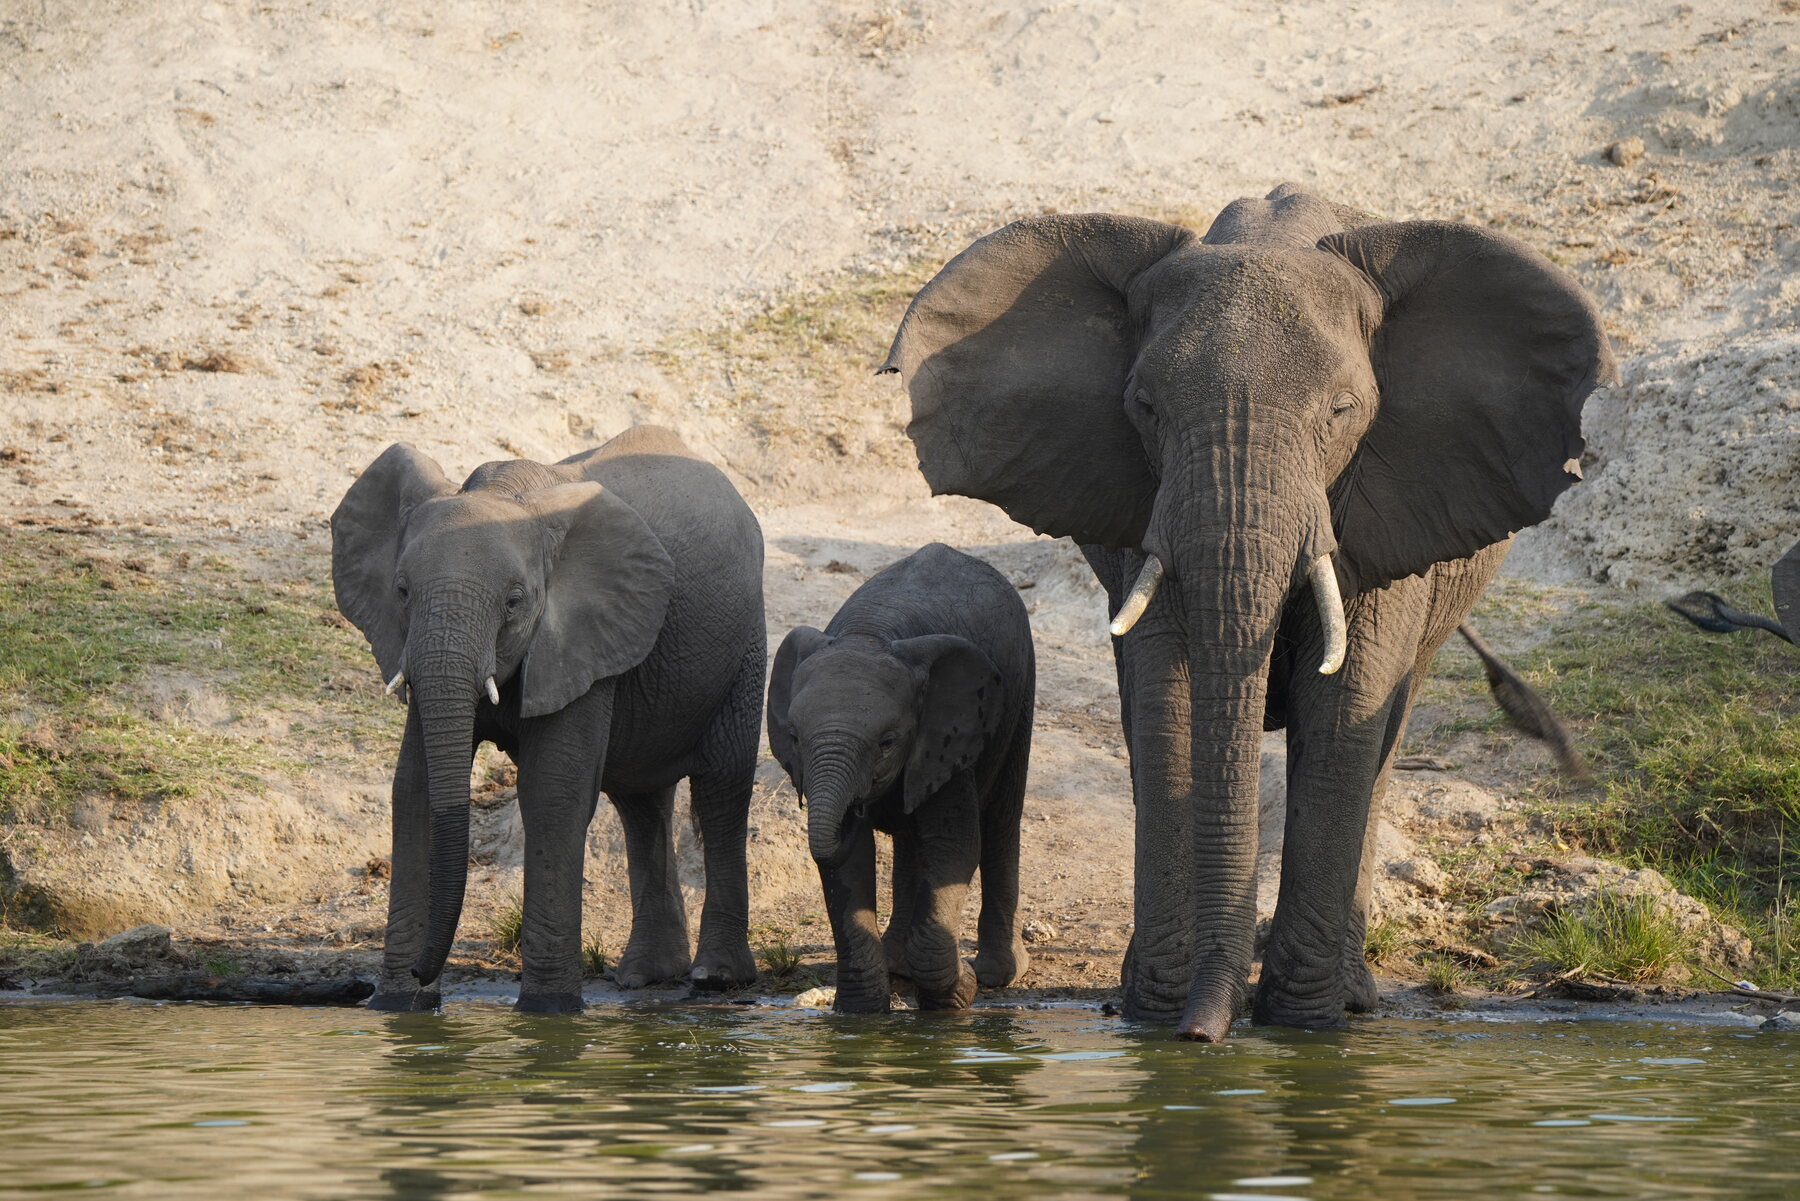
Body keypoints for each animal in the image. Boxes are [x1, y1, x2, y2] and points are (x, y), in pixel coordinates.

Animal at [331, 425, 764, 1012]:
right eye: (401, 591)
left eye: (514, 602)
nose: (425, 973)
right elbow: (414, 790)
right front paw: (396, 1008)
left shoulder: (583, 631)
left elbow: (552, 793)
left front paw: (548, 1013)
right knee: (641, 800)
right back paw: (645, 977)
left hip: (745, 640)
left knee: (721, 788)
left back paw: (715, 979)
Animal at [765, 543, 1034, 1012]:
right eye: (795, 738)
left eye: (888, 742)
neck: (870, 635)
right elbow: (850, 859)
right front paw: (860, 1013)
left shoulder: (948, 732)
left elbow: (953, 846)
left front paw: (960, 992)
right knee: (912, 842)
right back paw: (900, 967)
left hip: (1019, 695)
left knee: (1002, 818)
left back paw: (996, 975)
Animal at [880, 183, 1616, 1038]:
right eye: (1145, 406)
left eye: (1342, 411)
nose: (1204, 1031)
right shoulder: (1141, 504)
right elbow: (1165, 699)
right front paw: (1155, 1016)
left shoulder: (1388, 497)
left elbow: (1346, 704)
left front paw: (1301, 1024)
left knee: (1384, 737)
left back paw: (1352, 997)